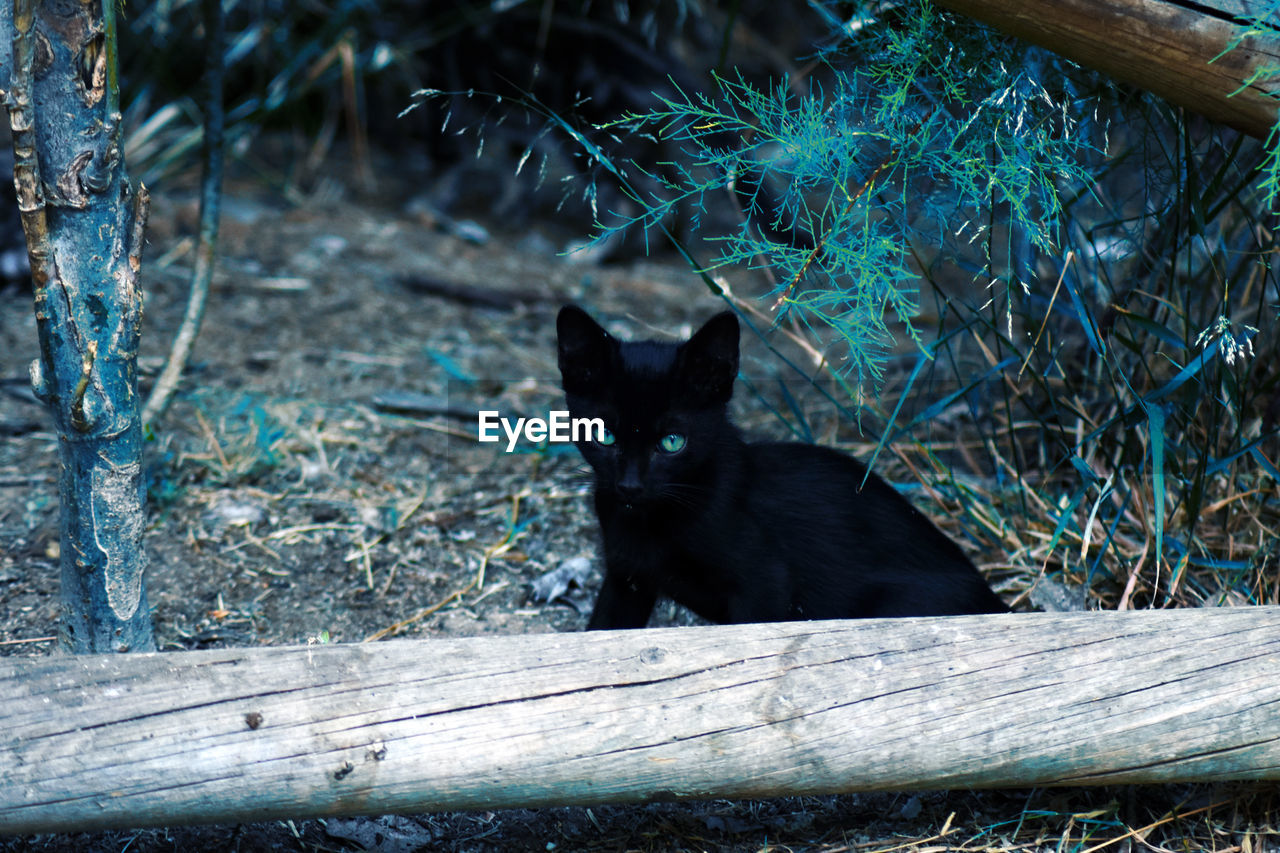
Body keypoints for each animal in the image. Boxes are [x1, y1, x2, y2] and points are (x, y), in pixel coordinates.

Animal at [560, 306, 1008, 625]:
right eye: (604, 435)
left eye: (672, 443)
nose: (630, 486)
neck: (652, 522)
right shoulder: (626, 579)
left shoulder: (765, 583)